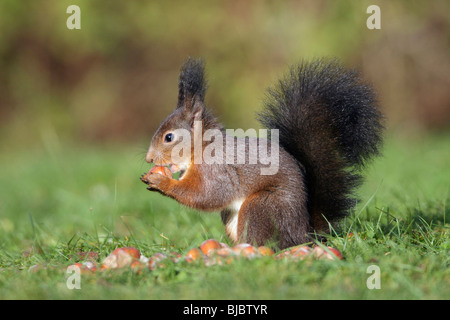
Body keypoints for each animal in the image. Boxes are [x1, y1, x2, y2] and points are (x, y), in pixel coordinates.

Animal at [141, 57, 384, 250]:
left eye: (169, 137)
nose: (149, 159)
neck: (203, 147)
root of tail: (303, 233)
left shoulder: (218, 170)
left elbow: (208, 194)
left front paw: (161, 182)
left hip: (262, 208)